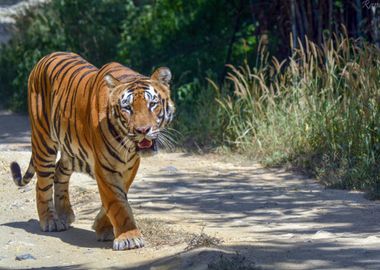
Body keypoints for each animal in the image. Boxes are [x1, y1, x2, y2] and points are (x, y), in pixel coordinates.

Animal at [9, 51, 175, 250]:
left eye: (152, 104)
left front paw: (102, 227)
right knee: (42, 183)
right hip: (44, 140)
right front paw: (129, 237)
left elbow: (118, 196)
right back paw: (50, 220)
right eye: (127, 108)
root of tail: (46, 56)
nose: (142, 130)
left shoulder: (129, 165)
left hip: (72, 151)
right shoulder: (105, 166)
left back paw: (65, 213)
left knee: (59, 171)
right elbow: (116, 201)